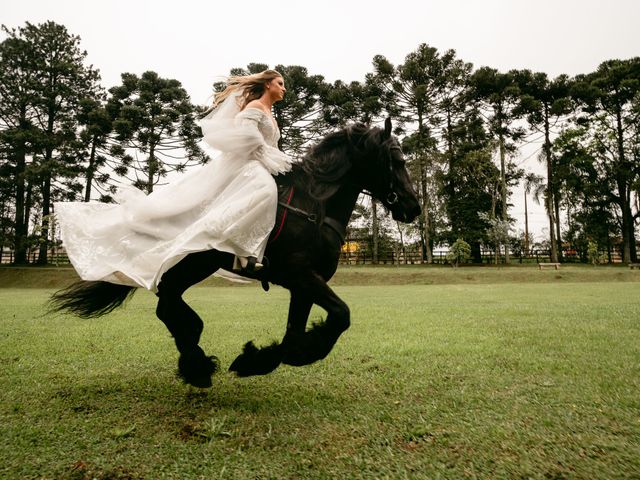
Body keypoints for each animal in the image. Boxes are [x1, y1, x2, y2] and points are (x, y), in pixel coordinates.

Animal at [50, 118, 420, 388]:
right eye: (397, 160)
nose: (414, 207)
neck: (314, 206)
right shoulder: (300, 275)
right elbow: (341, 315)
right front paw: (258, 359)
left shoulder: (303, 285)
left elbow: (294, 336)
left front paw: (259, 359)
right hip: (193, 263)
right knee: (166, 304)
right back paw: (197, 365)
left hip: (190, 266)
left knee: (167, 303)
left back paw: (194, 355)